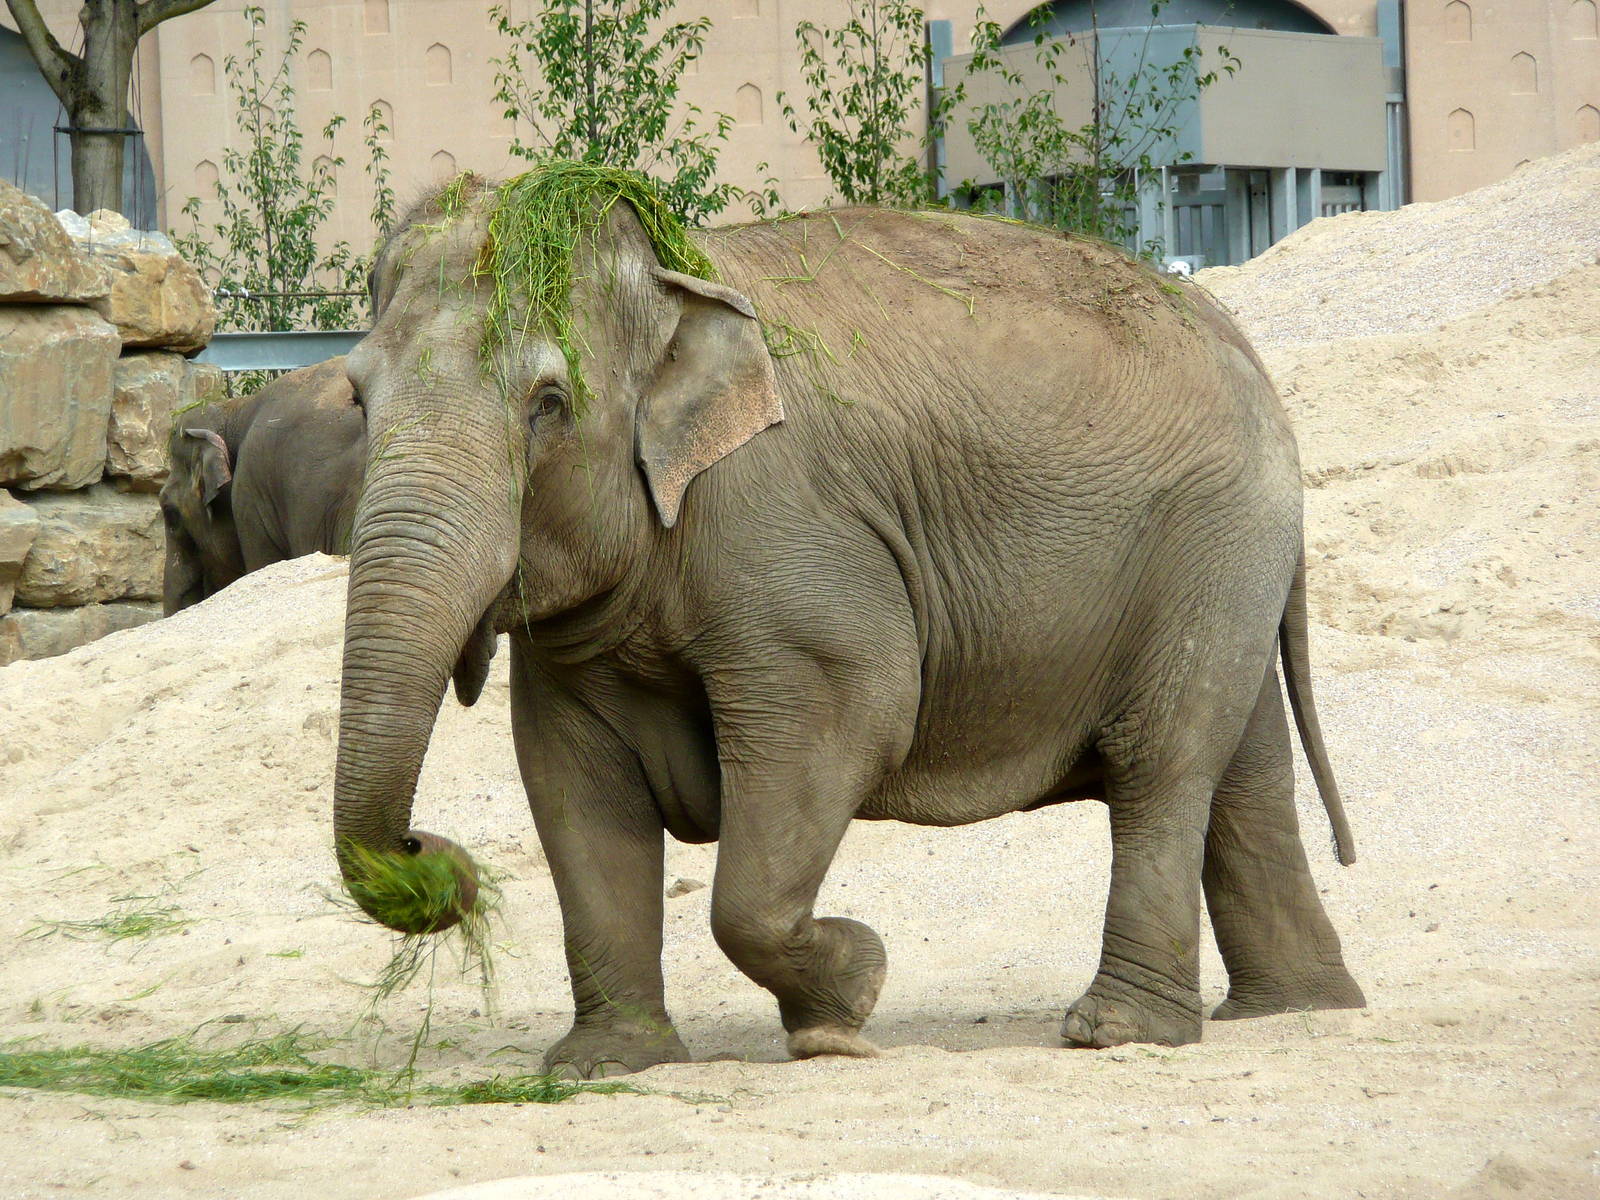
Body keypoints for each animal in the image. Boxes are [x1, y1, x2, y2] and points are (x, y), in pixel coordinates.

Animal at [332, 167, 1365, 1080]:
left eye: (548, 404)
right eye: (355, 399)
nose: (430, 855)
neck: (674, 276)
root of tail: (1246, 352)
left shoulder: (792, 545)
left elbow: (849, 715)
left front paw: (848, 1007)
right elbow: (573, 783)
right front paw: (604, 1065)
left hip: (1210, 544)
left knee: (1164, 763)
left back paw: (1117, 1031)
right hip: (1223, 567)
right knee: (1245, 772)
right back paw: (1296, 1008)